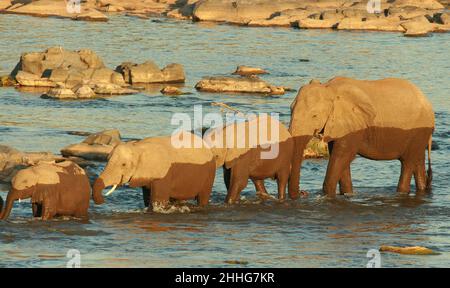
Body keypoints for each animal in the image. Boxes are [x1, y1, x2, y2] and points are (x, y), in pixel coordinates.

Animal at [290, 77, 434, 197]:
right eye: (291, 109)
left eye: (314, 116)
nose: (303, 193)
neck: (329, 88)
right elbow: (339, 157)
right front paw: (347, 194)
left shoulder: (353, 127)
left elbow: (342, 156)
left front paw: (328, 195)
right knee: (417, 160)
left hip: (418, 131)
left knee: (408, 162)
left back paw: (401, 193)